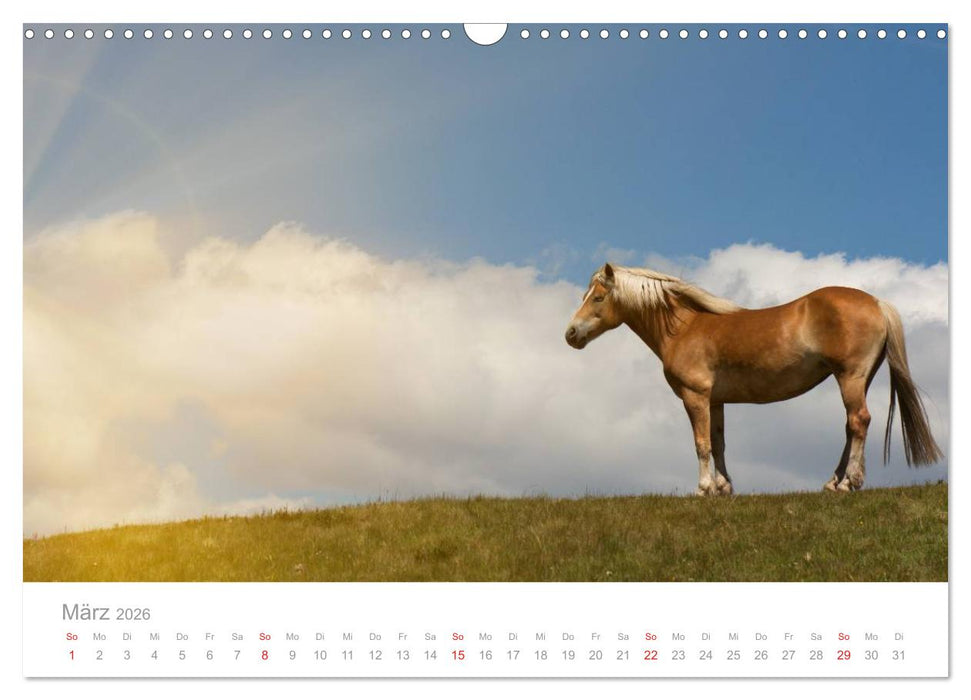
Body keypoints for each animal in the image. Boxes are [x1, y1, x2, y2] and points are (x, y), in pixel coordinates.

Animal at [564, 263, 942, 495]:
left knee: (858, 421)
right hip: (856, 379)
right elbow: (718, 442)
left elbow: (701, 443)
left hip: (849, 376)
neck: (685, 327)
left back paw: (850, 482)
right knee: (851, 427)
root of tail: (877, 302)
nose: (570, 334)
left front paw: (703, 489)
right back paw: (834, 483)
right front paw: (723, 488)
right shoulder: (715, 400)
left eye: (598, 297)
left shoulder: (695, 396)